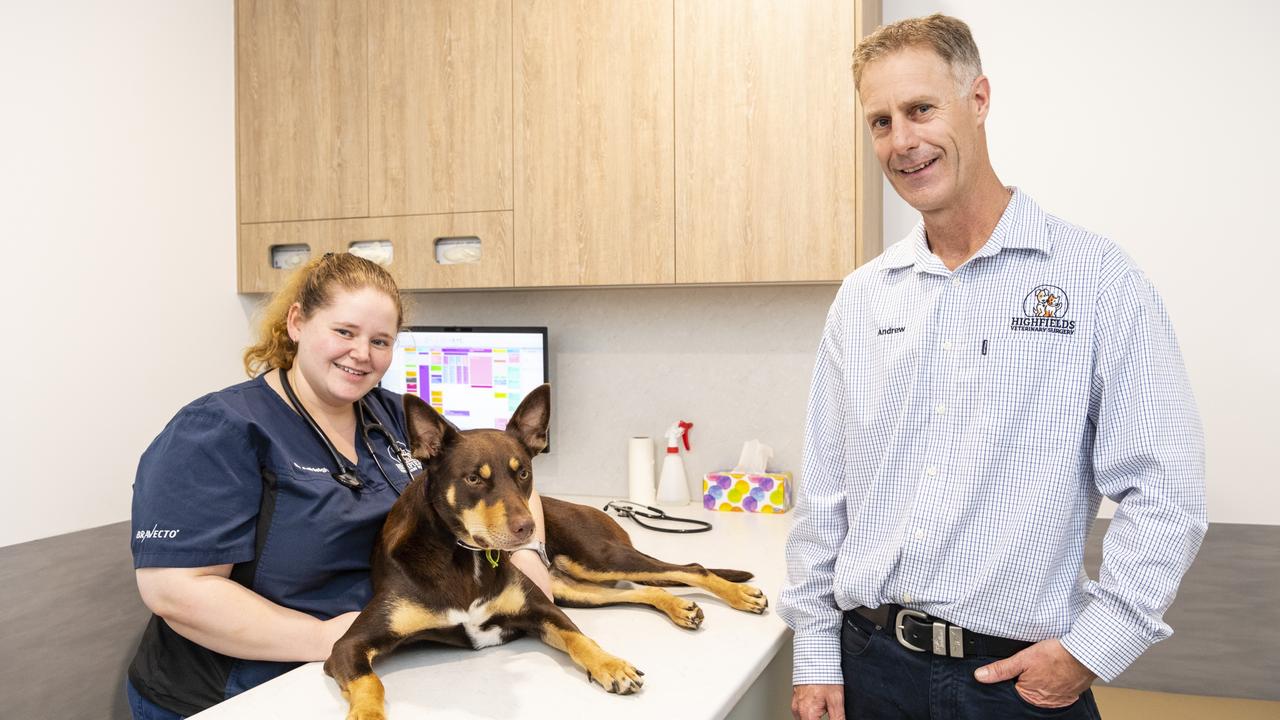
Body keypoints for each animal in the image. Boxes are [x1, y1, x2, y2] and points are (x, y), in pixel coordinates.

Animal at [325, 384, 762, 717]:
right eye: (473, 479)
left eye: (522, 472)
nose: (530, 529)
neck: (464, 557)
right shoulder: (347, 647)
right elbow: (372, 685)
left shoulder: (542, 610)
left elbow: (581, 639)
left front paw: (611, 665)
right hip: (575, 588)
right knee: (645, 589)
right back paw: (681, 606)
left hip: (598, 560)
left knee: (689, 566)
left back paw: (738, 595)